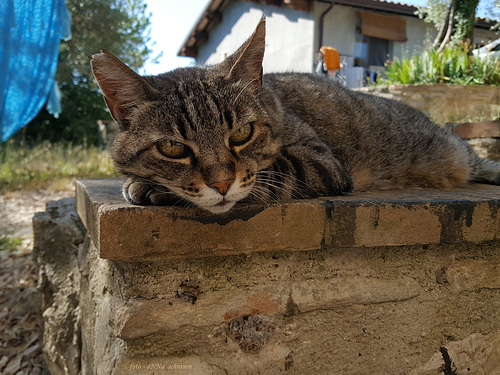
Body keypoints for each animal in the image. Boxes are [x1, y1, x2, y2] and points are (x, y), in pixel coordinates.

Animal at [89, 18, 500, 214]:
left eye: (242, 133)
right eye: (173, 148)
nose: (221, 184)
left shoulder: (323, 163)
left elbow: (273, 173)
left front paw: (150, 187)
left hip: (457, 153)